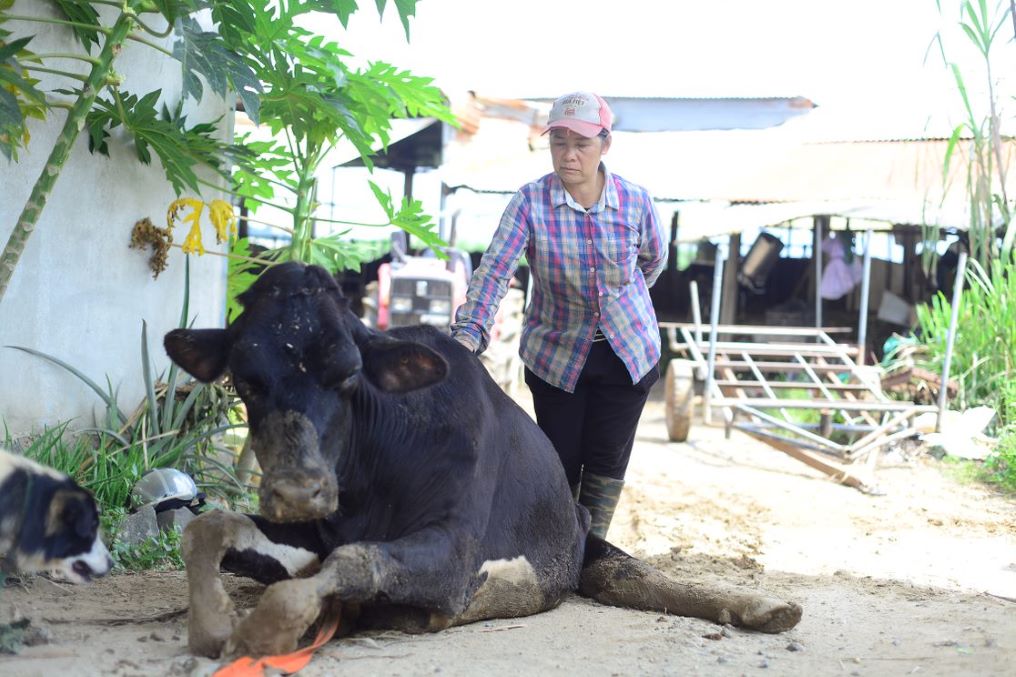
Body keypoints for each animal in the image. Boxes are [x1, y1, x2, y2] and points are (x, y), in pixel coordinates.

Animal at [166, 262, 800, 654]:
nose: (299, 489)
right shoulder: (313, 535)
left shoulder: (453, 555)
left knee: (634, 575)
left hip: (587, 544)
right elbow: (207, 525)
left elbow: (352, 559)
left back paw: (765, 606)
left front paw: (263, 632)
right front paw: (212, 621)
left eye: (348, 373)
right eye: (244, 381)